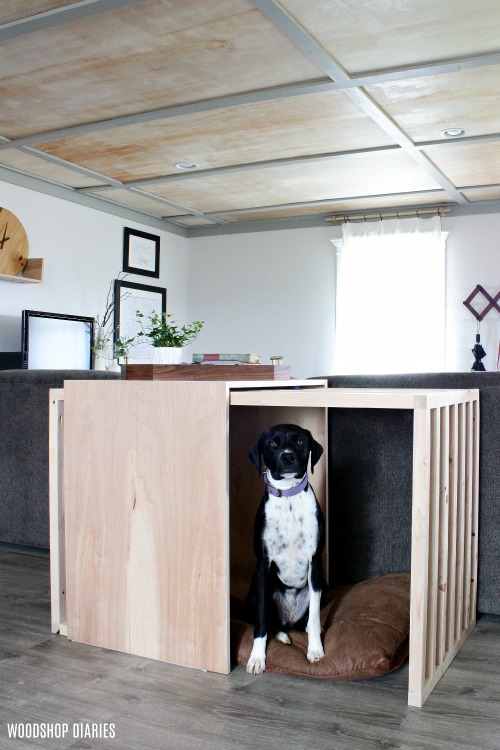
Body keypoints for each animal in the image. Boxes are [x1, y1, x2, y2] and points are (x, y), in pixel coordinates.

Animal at [245, 424, 324, 676]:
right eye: (272, 444)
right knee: (271, 623)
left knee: (307, 619)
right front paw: (257, 657)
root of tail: (288, 619)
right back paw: (281, 635)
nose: (287, 456)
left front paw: (315, 650)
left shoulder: (315, 563)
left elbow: (315, 617)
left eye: (299, 442)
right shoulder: (262, 565)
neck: (288, 498)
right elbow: (261, 621)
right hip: (254, 592)